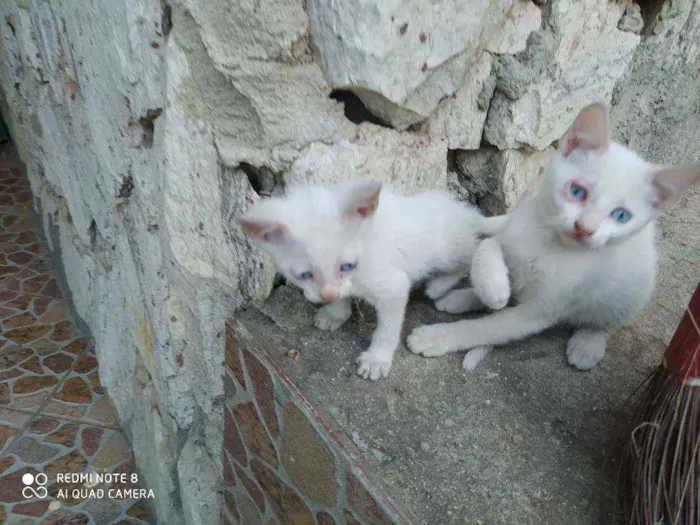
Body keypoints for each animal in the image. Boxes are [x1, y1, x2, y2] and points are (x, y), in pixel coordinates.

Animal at [239, 182, 504, 378]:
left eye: (347, 266)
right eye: (304, 275)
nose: (326, 294)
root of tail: (468, 213)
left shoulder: (394, 286)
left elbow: (387, 328)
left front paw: (377, 359)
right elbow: (341, 294)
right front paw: (335, 313)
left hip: (447, 250)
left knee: (471, 255)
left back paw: (439, 286)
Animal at [408, 102, 696, 370]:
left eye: (621, 216)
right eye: (578, 192)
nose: (585, 228)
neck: (550, 245)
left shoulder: (542, 309)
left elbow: (488, 327)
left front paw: (437, 337)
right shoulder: (515, 229)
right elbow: (487, 245)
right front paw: (493, 287)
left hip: (629, 293)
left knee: (606, 319)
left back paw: (588, 344)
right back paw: (462, 296)